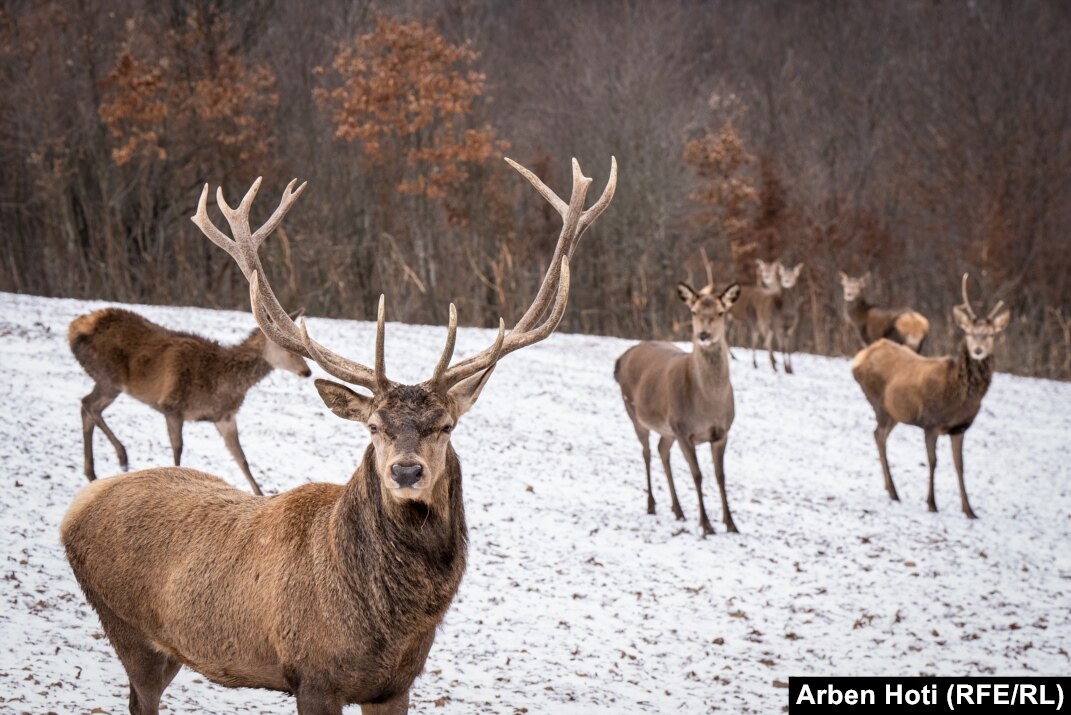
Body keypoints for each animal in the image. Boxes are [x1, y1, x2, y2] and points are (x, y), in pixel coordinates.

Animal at [62, 157, 616, 714]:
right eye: (373, 427)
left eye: (446, 425)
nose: (406, 470)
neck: (385, 626)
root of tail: (77, 508)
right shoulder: (313, 677)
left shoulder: (396, 685)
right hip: (128, 630)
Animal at [848, 276, 1006, 520]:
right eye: (969, 332)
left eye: (991, 335)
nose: (978, 350)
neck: (959, 397)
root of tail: (859, 358)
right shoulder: (931, 423)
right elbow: (933, 462)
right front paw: (932, 503)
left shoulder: (959, 428)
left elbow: (960, 465)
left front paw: (969, 510)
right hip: (880, 406)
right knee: (879, 435)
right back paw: (894, 491)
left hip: (895, 413)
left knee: (879, 435)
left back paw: (890, 489)